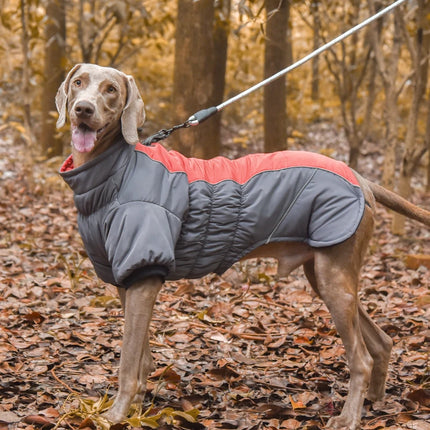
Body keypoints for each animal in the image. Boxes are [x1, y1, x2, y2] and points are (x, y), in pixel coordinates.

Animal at [56, 63, 430, 430]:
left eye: (111, 90)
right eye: (78, 82)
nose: (83, 109)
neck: (114, 171)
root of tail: (360, 178)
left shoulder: (144, 274)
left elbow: (128, 360)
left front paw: (115, 415)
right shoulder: (127, 279)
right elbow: (142, 356)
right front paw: (135, 408)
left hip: (333, 276)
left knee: (361, 358)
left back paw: (349, 418)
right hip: (325, 275)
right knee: (382, 341)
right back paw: (374, 401)